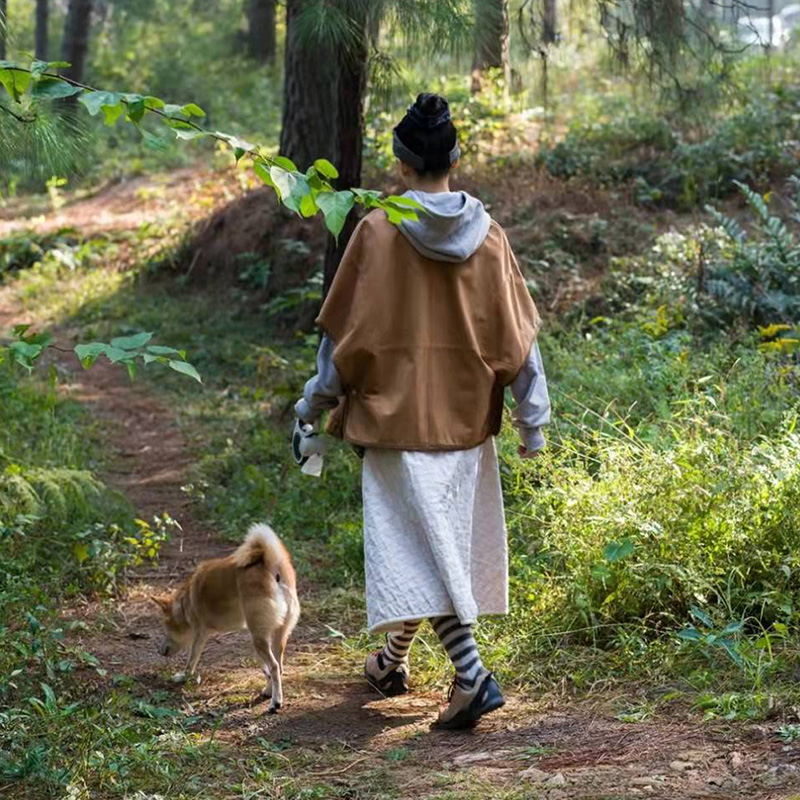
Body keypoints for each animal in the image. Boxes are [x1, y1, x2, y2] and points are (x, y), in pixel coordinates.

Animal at [152, 524, 298, 712]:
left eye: (165, 628)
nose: (160, 651)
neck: (185, 604)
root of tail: (272, 567)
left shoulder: (200, 635)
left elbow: (191, 661)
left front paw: (183, 677)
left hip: (258, 637)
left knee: (273, 666)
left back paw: (276, 702)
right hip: (275, 636)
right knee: (278, 667)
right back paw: (269, 692)